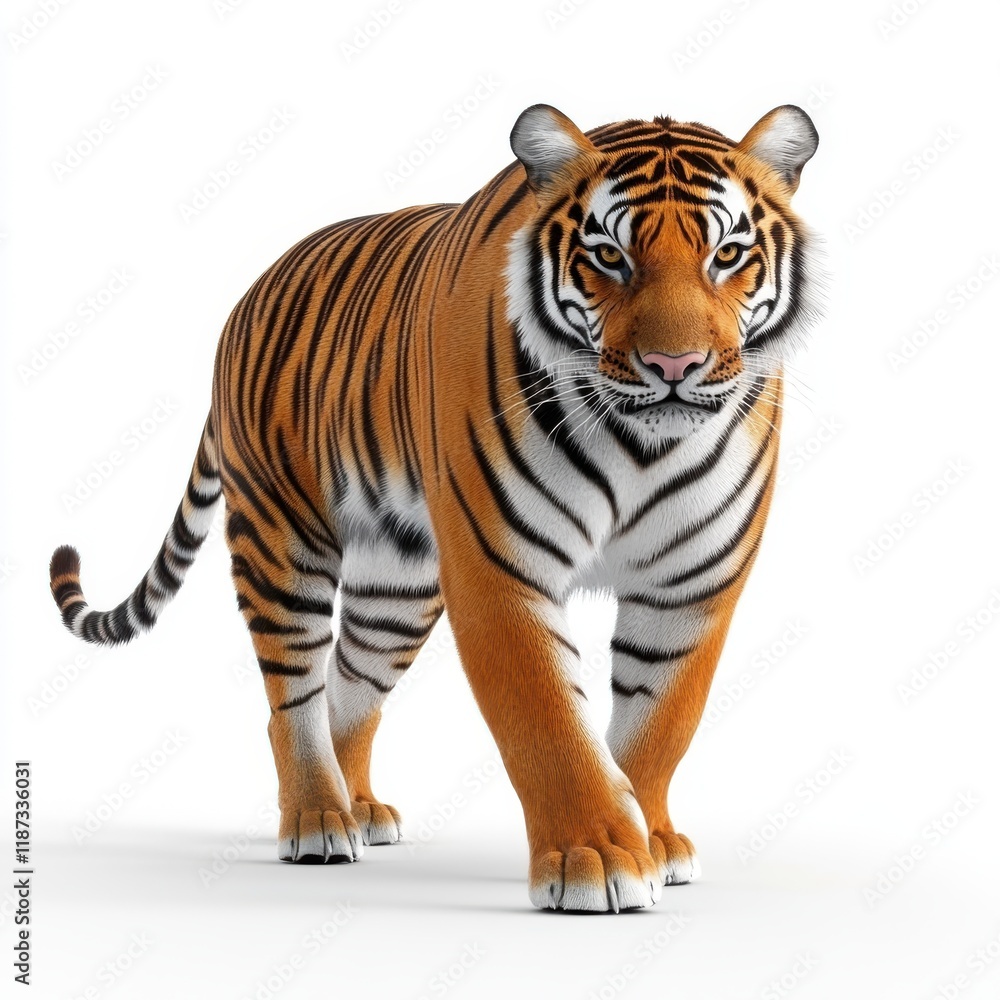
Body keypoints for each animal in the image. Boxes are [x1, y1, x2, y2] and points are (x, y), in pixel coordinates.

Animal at [49, 102, 823, 912]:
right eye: (609, 256)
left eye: (728, 254)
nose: (675, 366)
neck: (643, 444)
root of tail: (248, 296)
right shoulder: (500, 571)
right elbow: (547, 721)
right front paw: (598, 858)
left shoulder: (693, 585)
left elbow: (660, 725)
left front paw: (652, 838)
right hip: (279, 535)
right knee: (292, 694)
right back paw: (318, 820)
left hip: (398, 581)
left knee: (350, 687)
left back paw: (358, 808)